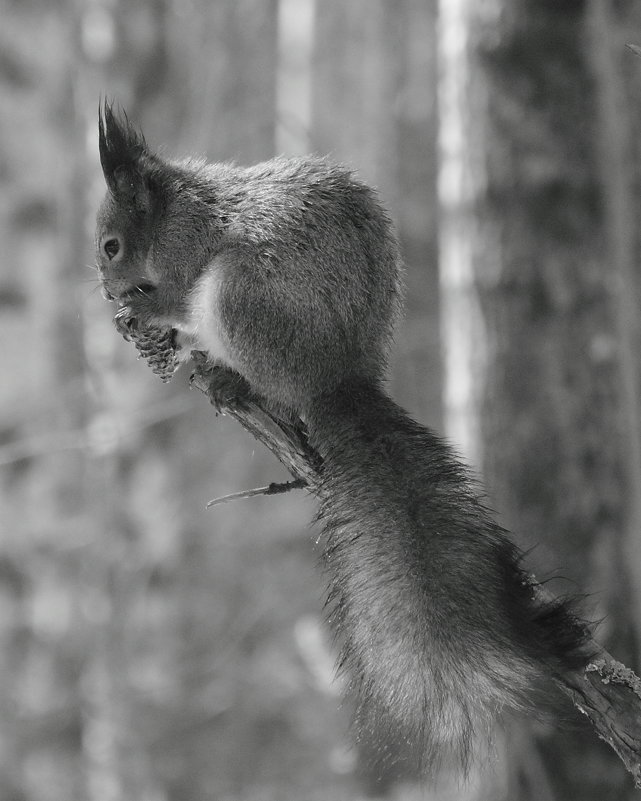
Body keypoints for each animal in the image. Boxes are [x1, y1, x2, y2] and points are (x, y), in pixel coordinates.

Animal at [94, 103, 592, 772]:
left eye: (112, 246)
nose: (106, 289)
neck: (179, 204)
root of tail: (334, 378)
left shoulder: (184, 252)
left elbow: (171, 294)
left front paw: (143, 316)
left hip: (241, 297)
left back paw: (228, 377)